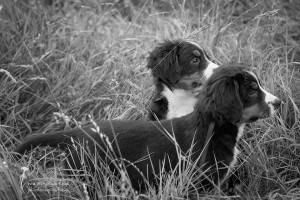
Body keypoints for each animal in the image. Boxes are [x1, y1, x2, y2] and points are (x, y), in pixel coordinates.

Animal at [14, 64, 282, 192]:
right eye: (252, 91)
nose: (279, 102)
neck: (211, 127)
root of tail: (79, 131)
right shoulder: (200, 180)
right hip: (88, 174)